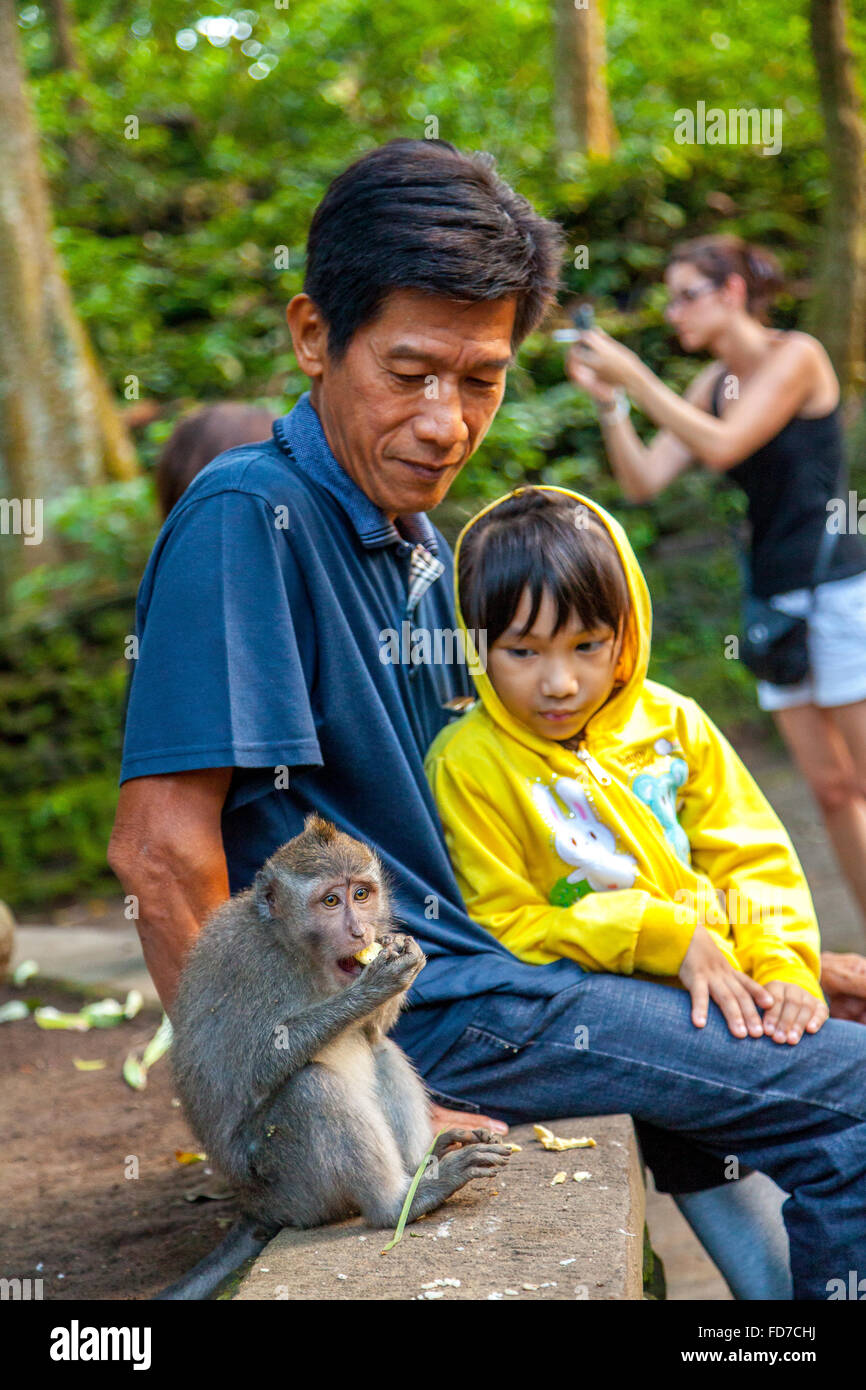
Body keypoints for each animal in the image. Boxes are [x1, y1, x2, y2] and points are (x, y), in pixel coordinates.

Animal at [154, 813, 511, 1299]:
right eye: (329, 901)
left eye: (361, 894)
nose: (360, 932)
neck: (291, 946)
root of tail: (256, 1207)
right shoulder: (252, 966)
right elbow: (256, 1066)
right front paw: (375, 984)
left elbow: (373, 1032)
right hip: (287, 1184)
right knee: (310, 1087)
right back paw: (401, 1201)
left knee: (381, 1051)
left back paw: (424, 1161)